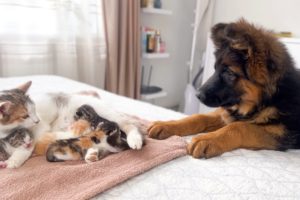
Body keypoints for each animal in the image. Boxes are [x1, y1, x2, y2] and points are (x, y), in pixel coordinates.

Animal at [0, 82, 145, 168]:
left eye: (34, 109)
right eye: (25, 115)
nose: (37, 120)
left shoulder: (40, 129)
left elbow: (28, 145)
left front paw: (13, 161)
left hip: (105, 114)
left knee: (129, 125)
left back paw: (134, 140)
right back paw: (91, 154)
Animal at [148, 19, 300, 159]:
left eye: (229, 73)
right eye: (215, 69)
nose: (197, 95)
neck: (268, 98)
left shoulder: (284, 132)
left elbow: (241, 126)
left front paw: (207, 138)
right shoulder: (226, 114)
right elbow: (199, 117)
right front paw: (167, 125)